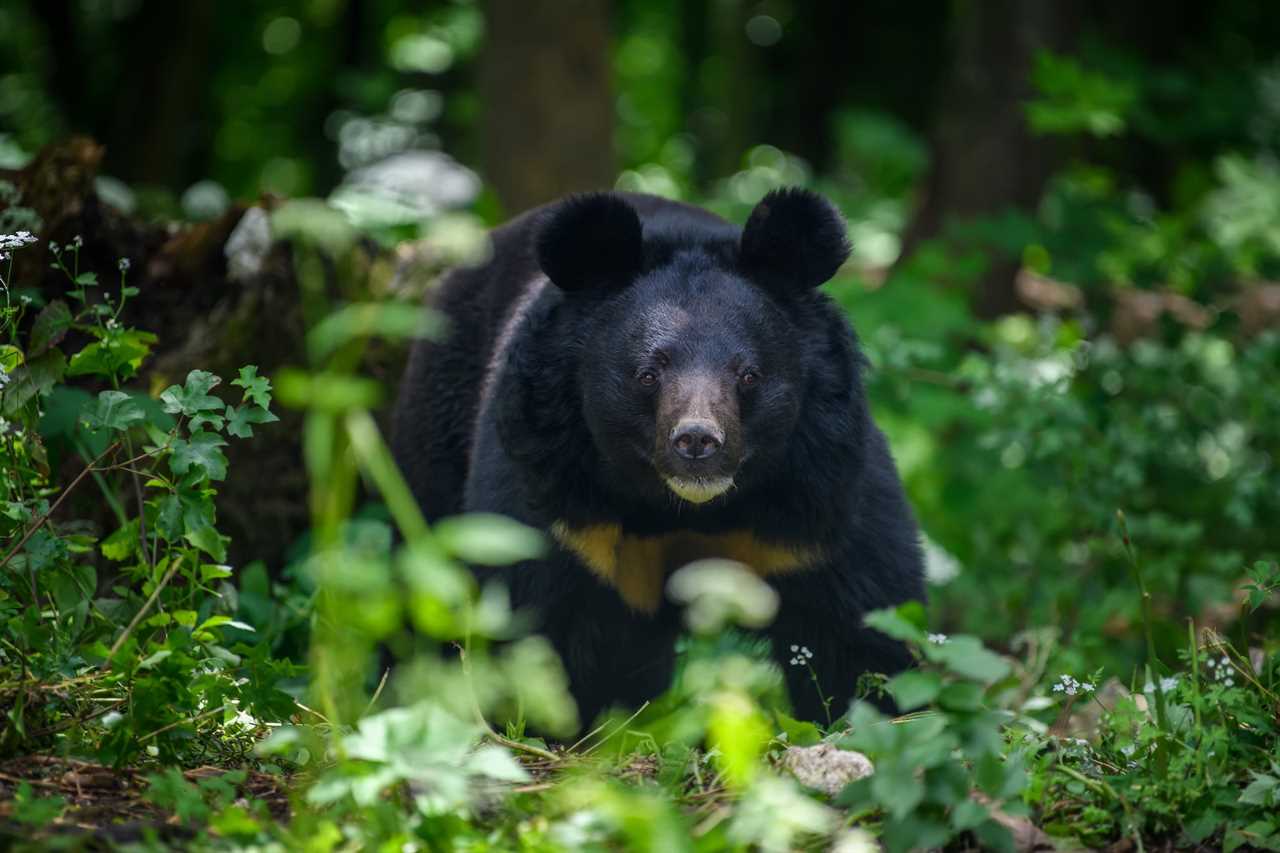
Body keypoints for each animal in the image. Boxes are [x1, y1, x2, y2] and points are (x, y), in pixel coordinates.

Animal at [394, 188, 926, 722]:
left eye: (748, 374)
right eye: (648, 374)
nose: (697, 441)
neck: (687, 508)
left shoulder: (818, 502)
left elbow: (863, 626)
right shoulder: (557, 497)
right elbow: (533, 624)